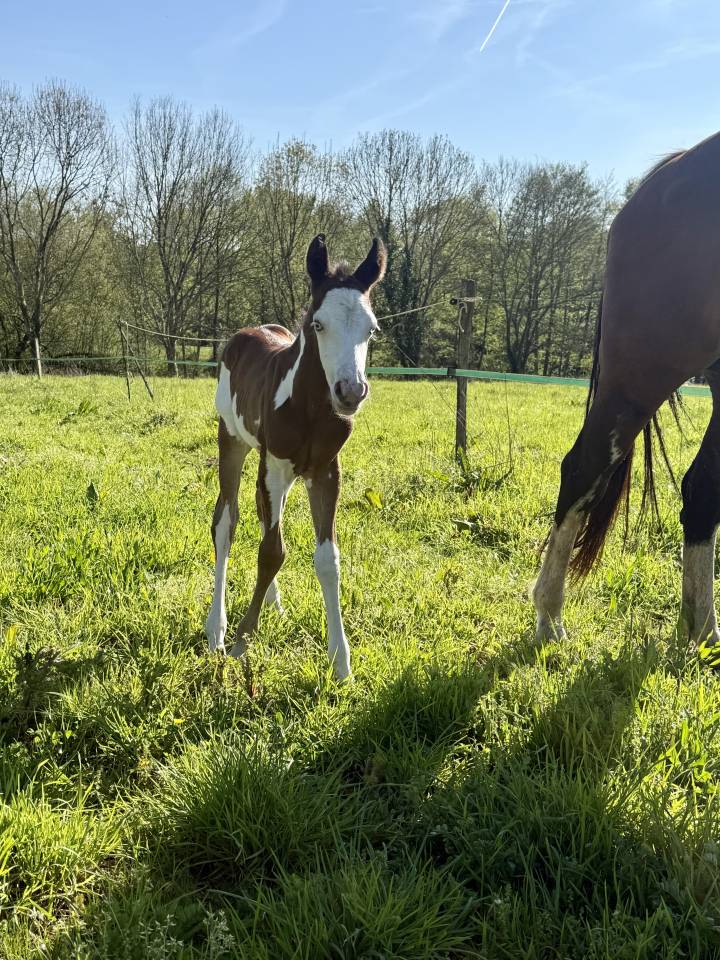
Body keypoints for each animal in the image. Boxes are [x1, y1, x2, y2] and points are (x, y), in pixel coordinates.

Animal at [205, 234, 386, 680]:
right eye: (318, 325)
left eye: (372, 330)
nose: (350, 392)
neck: (309, 409)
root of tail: (247, 333)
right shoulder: (274, 465)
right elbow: (271, 551)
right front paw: (241, 641)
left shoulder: (325, 472)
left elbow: (327, 558)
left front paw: (341, 661)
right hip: (231, 440)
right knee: (226, 521)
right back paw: (216, 630)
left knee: (259, 513)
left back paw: (274, 603)